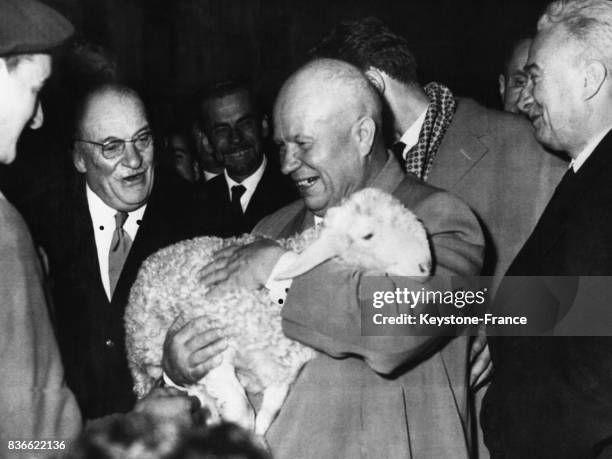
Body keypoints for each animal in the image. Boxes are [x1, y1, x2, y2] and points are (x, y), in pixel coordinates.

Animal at [123, 188, 430, 438]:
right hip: (146, 349)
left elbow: (268, 411)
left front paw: (257, 435)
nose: (426, 266)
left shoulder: (284, 372)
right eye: (368, 235)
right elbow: (241, 410)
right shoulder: (211, 349)